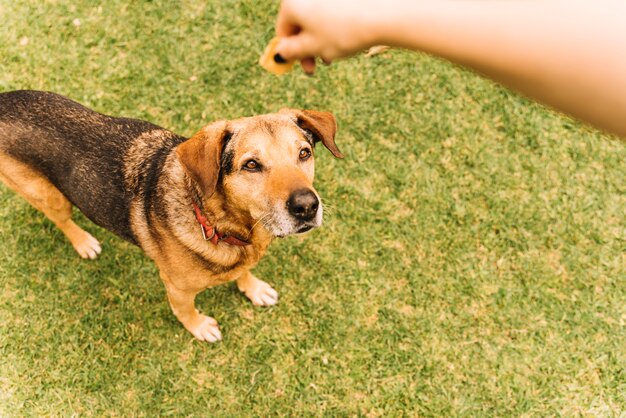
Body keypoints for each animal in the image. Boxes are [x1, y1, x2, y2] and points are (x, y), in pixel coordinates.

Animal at [0, 90, 342, 342]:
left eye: (304, 153)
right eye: (251, 165)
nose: (307, 206)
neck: (219, 224)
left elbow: (244, 273)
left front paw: (254, 288)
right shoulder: (178, 290)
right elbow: (185, 312)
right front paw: (200, 327)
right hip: (49, 196)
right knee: (62, 220)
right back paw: (84, 242)